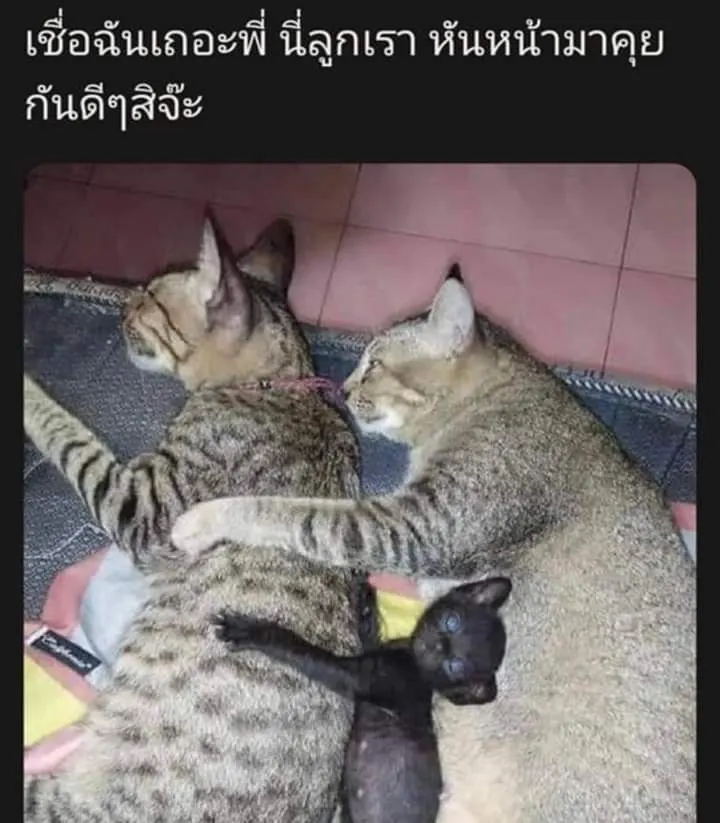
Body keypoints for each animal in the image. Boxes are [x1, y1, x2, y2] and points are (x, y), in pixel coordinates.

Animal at [23, 215, 365, 823]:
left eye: (152, 298)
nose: (122, 303)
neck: (280, 384)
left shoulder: (146, 509)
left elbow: (70, 439)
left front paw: (21, 388)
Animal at [215, 576, 512, 823]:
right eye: (452, 621)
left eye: (455, 666)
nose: (437, 646)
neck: (411, 660)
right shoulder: (371, 655)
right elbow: (369, 631)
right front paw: (366, 599)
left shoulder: (358, 677)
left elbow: (300, 649)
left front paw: (250, 631)